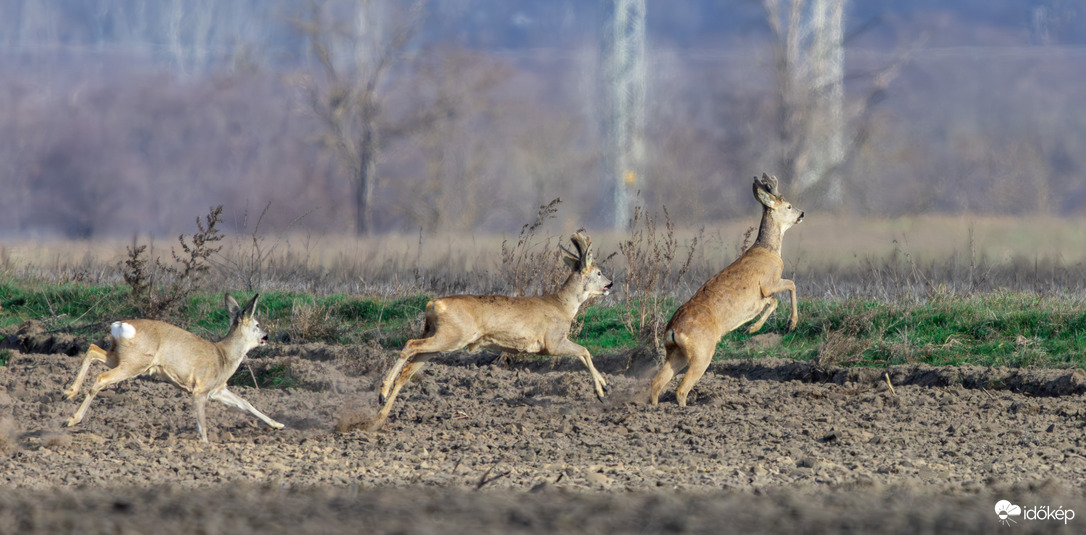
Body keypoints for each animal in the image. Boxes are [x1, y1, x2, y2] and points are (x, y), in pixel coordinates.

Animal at [62, 293, 284, 440]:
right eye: (257, 324)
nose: (266, 337)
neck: (224, 356)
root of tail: (120, 326)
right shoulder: (200, 389)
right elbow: (202, 423)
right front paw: (206, 444)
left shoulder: (217, 390)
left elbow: (245, 403)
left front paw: (278, 424)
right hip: (135, 363)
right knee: (101, 378)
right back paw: (72, 419)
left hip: (121, 356)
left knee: (92, 350)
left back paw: (69, 392)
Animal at [375, 228, 612, 425]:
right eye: (599, 272)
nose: (610, 284)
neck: (563, 306)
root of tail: (432, 303)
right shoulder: (553, 341)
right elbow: (585, 351)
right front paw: (601, 392)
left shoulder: (555, 342)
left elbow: (582, 354)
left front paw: (605, 386)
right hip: (453, 336)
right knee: (410, 344)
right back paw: (382, 393)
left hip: (440, 337)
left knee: (408, 370)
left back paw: (381, 413)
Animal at [647, 173, 803, 403]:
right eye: (789, 206)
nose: (802, 213)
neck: (769, 250)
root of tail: (673, 330)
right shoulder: (768, 283)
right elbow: (790, 285)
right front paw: (790, 324)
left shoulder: (761, 296)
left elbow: (773, 302)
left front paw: (752, 328)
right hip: (702, 352)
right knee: (681, 388)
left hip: (677, 354)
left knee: (657, 382)